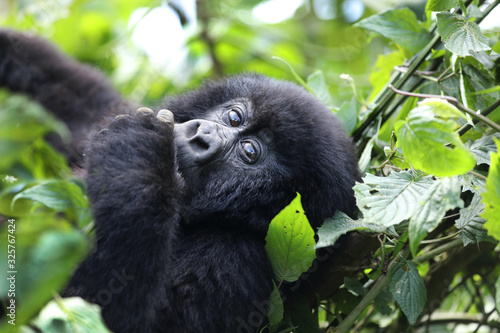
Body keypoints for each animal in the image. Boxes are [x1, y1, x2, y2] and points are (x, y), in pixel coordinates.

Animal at [0, 29, 360, 330]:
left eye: (250, 152)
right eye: (235, 116)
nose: (203, 136)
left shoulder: (232, 259)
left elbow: (96, 310)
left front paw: (140, 156)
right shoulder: (116, 115)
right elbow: (70, 94)